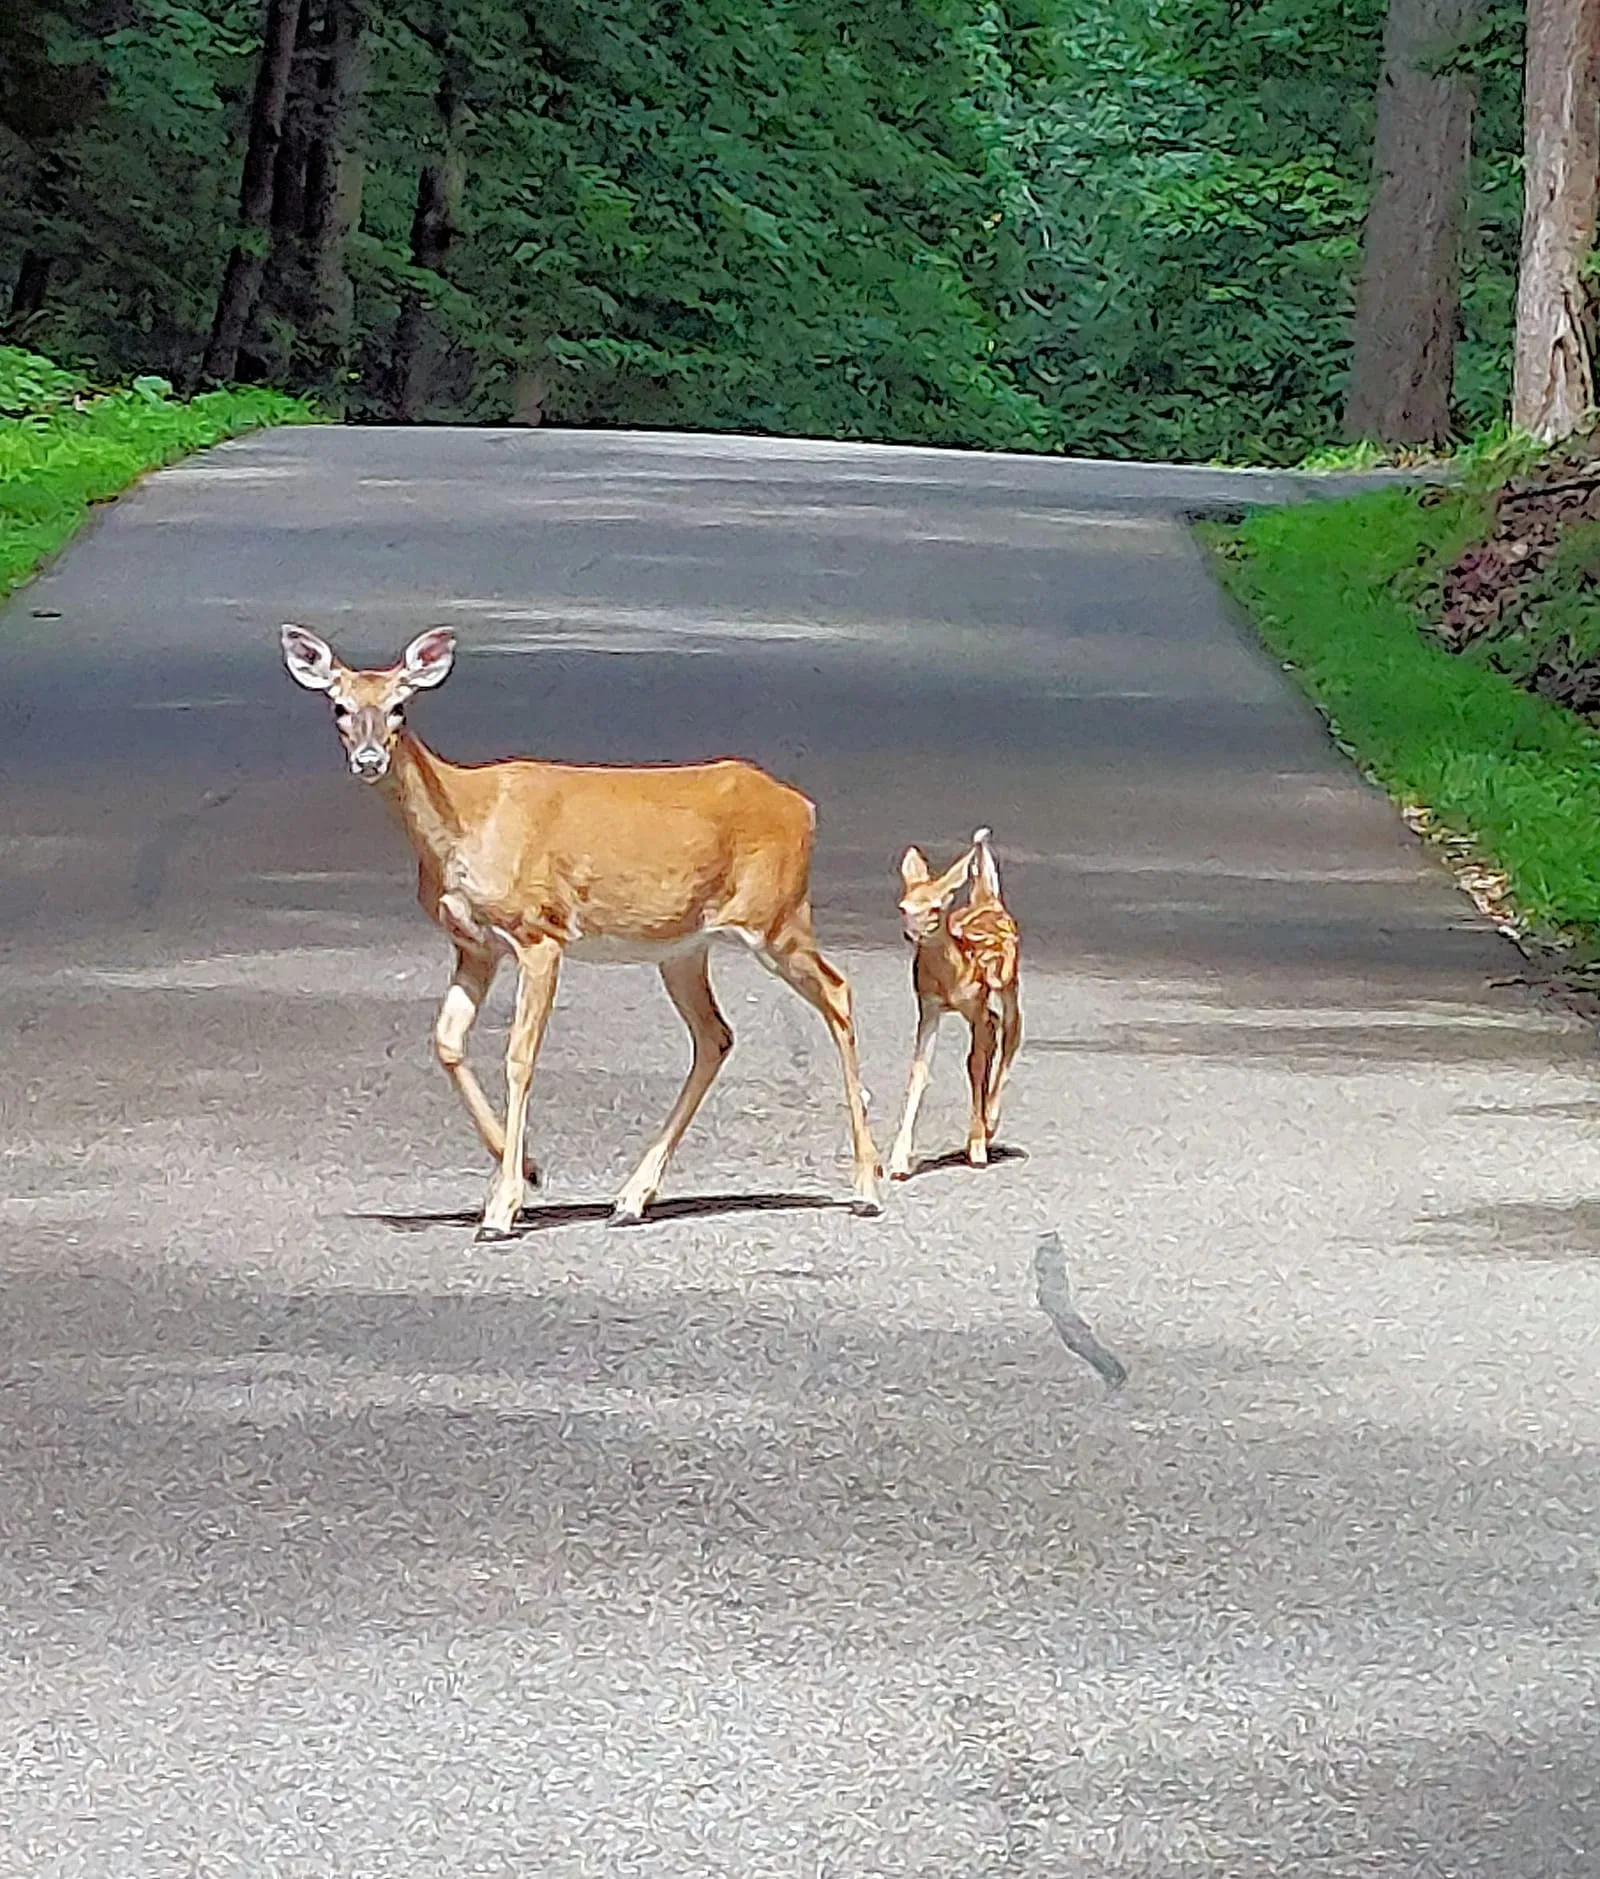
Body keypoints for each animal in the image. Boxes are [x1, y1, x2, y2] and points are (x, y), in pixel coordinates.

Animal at [278, 623, 882, 1239]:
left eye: (399, 706)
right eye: (340, 706)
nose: (369, 758)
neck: (466, 823)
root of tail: (803, 807)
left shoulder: (539, 934)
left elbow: (520, 1056)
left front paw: (503, 1207)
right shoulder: (475, 944)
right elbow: (447, 1040)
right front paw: (527, 1171)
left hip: (776, 916)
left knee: (836, 992)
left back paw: (867, 1186)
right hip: (684, 948)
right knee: (716, 1035)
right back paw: (631, 1199)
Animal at [887, 827, 1021, 1181]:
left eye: (935, 909)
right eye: (903, 907)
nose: (910, 934)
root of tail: (987, 898)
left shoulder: (974, 1004)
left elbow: (975, 1063)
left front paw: (977, 1146)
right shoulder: (929, 1007)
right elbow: (919, 1072)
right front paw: (897, 1161)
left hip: (1008, 983)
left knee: (1010, 1033)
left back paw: (990, 1124)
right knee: (996, 1028)